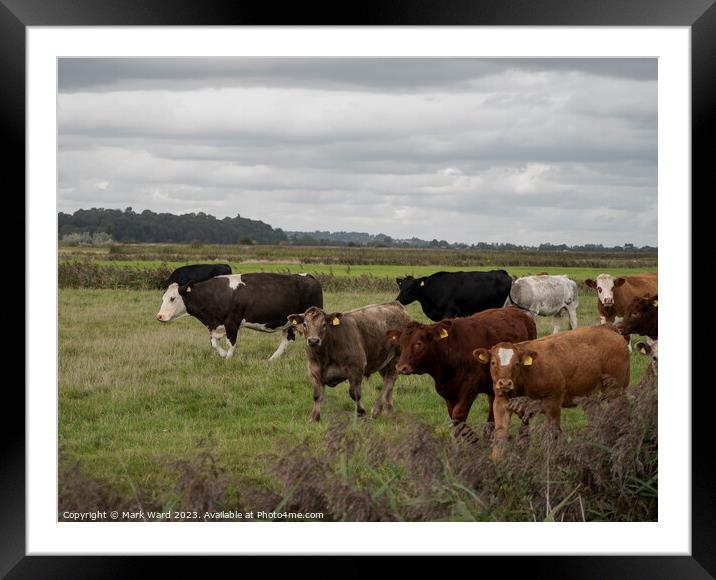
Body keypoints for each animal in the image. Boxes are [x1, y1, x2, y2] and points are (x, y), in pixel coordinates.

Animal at [158, 274, 326, 362]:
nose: (159, 316)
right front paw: (223, 354)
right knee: (287, 339)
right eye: (163, 297)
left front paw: (228, 359)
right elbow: (214, 343)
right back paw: (271, 359)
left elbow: (231, 343)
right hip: (289, 323)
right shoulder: (216, 325)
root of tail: (308, 276)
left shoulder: (232, 322)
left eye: (172, 298)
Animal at [388, 306, 536, 442]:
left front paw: (472, 439)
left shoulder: (470, 386)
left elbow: (458, 414)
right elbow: (454, 418)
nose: (401, 367)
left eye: (418, 344)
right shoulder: (448, 391)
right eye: (400, 344)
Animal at [476, 326, 628, 458]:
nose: (505, 383)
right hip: (590, 397)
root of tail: (606, 328)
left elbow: (552, 434)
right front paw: (496, 460)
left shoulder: (553, 403)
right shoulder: (501, 403)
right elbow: (500, 434)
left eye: (517, 363)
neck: (526, 375)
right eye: (493, 363)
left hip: (615, 390)